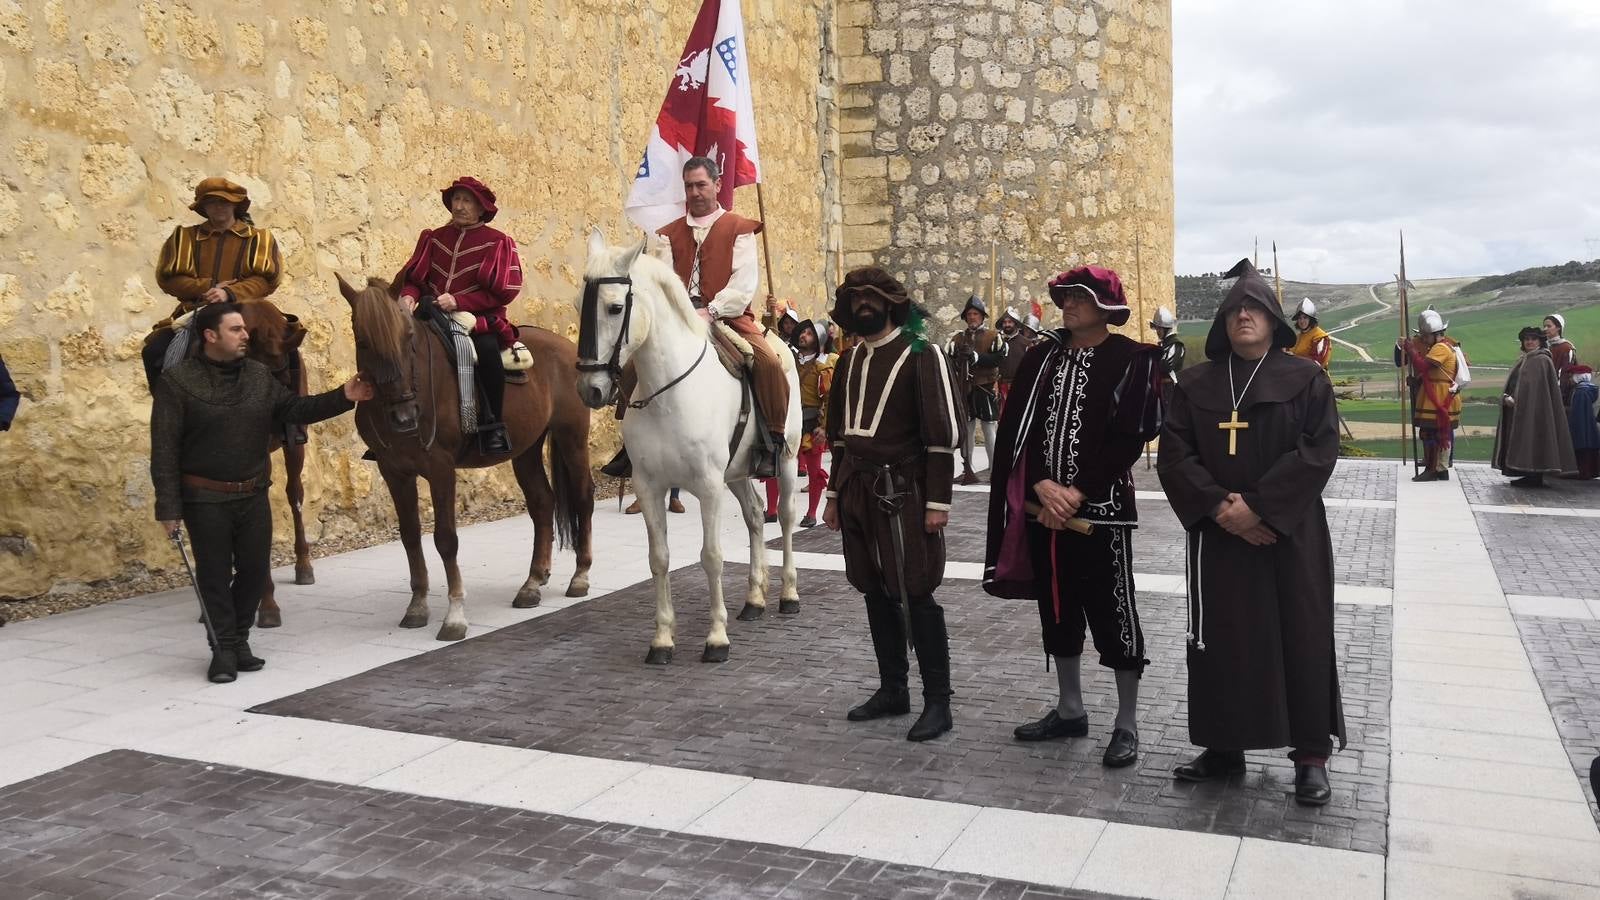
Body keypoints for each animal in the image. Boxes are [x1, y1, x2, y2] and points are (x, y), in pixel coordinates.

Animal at [337, 273, 595, 637]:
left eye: (408, 338)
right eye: (362, 341)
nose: (404, 416)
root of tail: (565, 346)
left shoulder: (440, 468)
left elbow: (446, 538)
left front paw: (455, 616)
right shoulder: (395, 472)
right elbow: (410, 536)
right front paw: (417, 606)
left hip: (571, 438)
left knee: (583, 497)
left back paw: (580, 576)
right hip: (526, 450)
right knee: (542, 503)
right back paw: (532, 582)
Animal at [576, 225, 800, 659]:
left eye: (615, 308)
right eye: (580, 306)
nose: (590, 389)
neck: (668, 393)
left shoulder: (709, 486)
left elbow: (711, 557)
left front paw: (716, 637)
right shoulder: (648, 487)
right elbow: (659, 558)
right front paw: (662, 639)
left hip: (786, 460)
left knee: (783, 516)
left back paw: (788, 594)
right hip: (737, 473)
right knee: (754, 515)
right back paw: (754, 599)